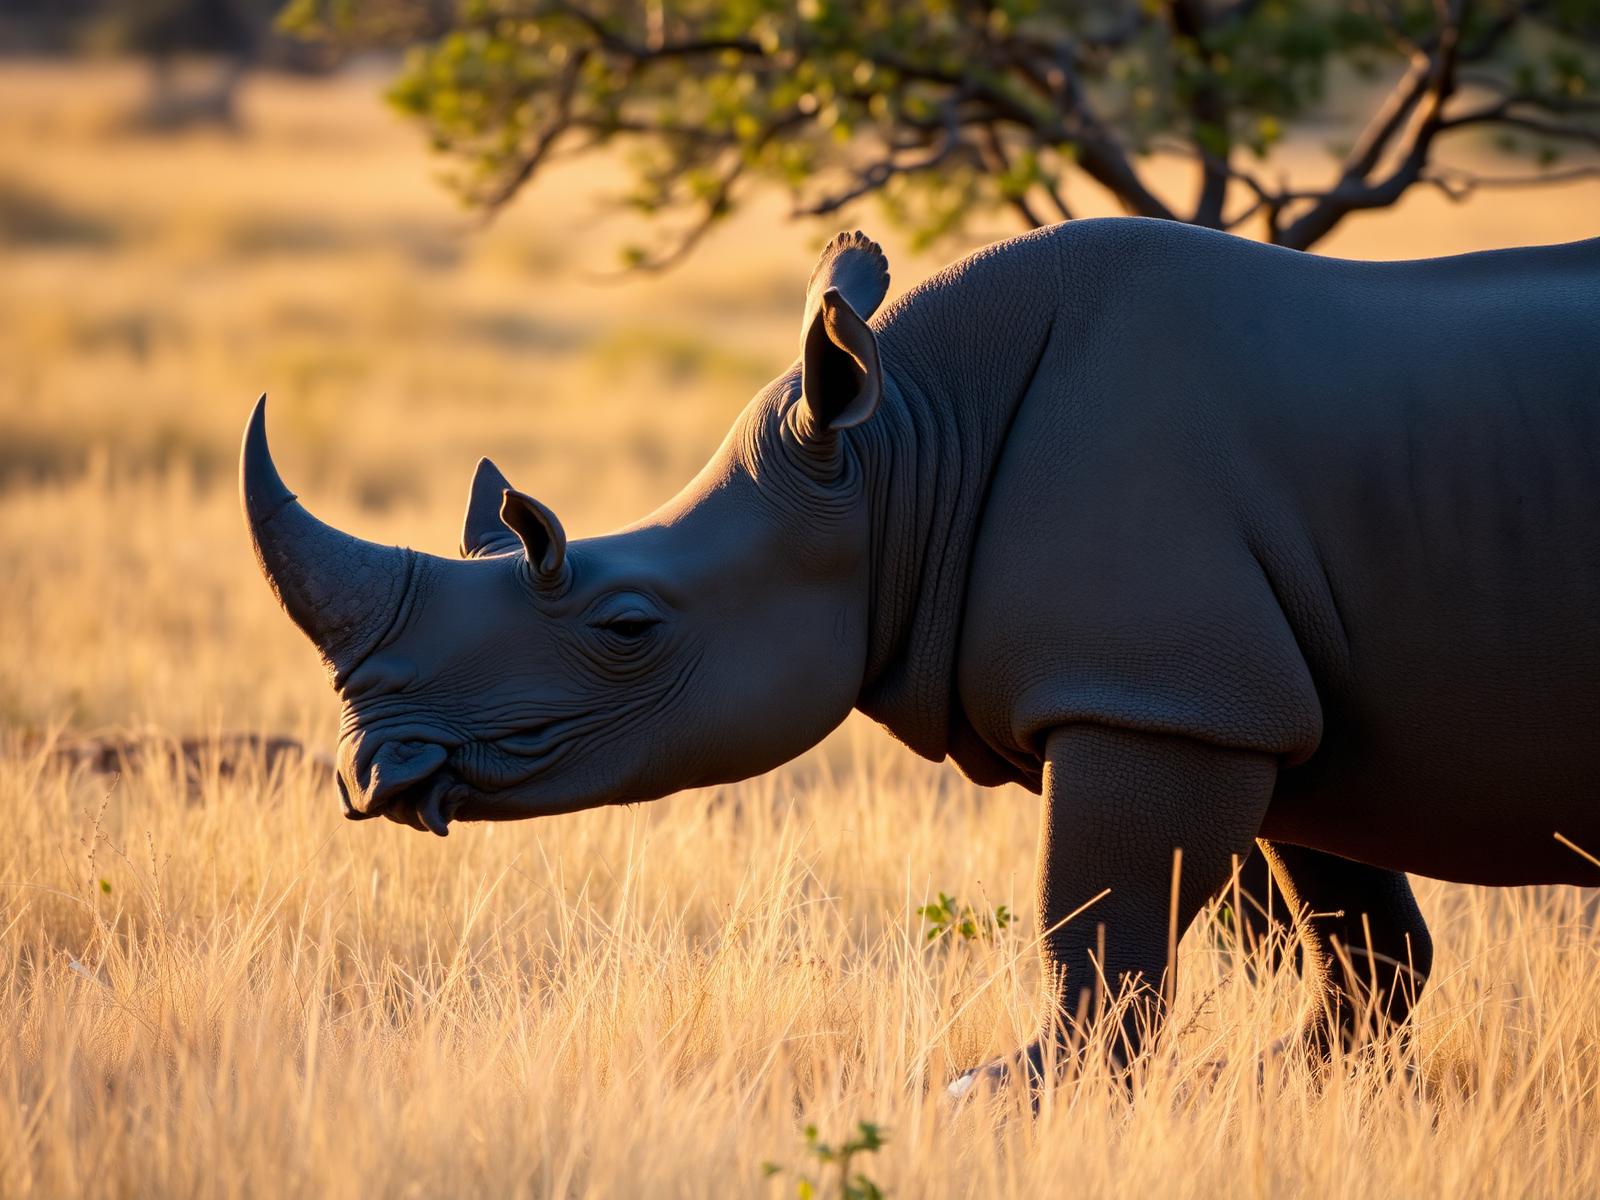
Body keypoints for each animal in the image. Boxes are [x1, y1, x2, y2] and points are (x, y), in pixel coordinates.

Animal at [241, 218, 1600, 1093]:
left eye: (629, 628)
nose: (374, 770)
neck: (904, 457)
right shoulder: (1247, 693)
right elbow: (1364, 942)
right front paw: (1278, 1086)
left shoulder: (1151, 692)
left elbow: (1100, 930)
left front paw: (1003, 1095)